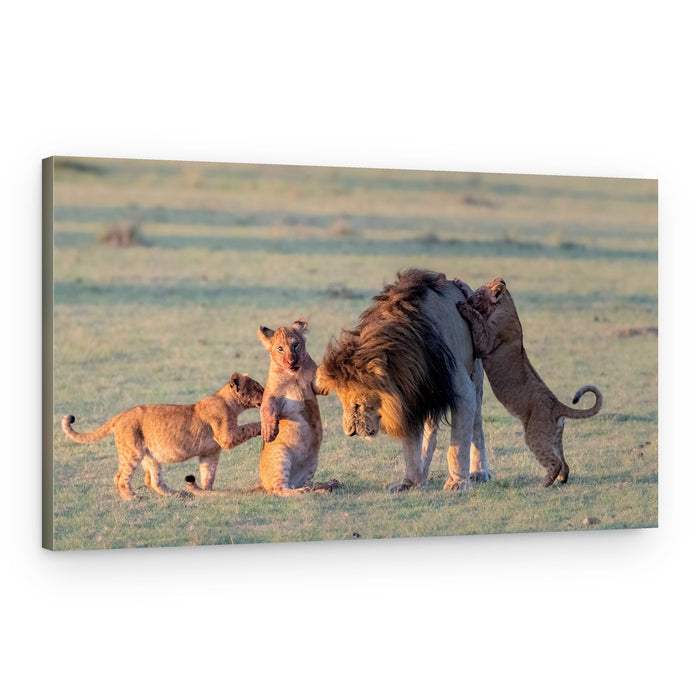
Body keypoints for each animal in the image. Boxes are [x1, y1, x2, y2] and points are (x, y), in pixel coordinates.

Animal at [62, 373, 264, 499]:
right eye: (257, 387)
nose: (266, 393)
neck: (230, 404)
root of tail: (120, 415)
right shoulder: (226, 437)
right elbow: (249, 427)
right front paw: (264, 425)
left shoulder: (210, 453)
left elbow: (208, 474)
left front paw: (205, 492)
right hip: (131, 452)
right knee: (120, 477)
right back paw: (131, 497)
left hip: (151, 456)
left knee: (153, 481)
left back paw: (177, 494)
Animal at [316, 269, 491, 493]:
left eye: (357, 404)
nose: (349, 433)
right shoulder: (409, 395)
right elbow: (411, 447)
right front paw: (409, 483)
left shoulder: (461, 391)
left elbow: (458, 445)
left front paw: (457, 483)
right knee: (430, 433)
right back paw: (423, 477)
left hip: (475, 372)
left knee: (476, 426)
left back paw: (479, 473)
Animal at [455, 277, 603, 486]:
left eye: (479, 293)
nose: (468, 300)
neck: (506, 305)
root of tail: (557, 405)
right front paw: (459, 284)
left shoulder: (486, 342)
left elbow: (477, 321)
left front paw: (464, 306)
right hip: (554, 437)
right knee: (565, 463)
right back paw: (560, 480)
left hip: (535, 435)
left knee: (555, 462)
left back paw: (542, 485)